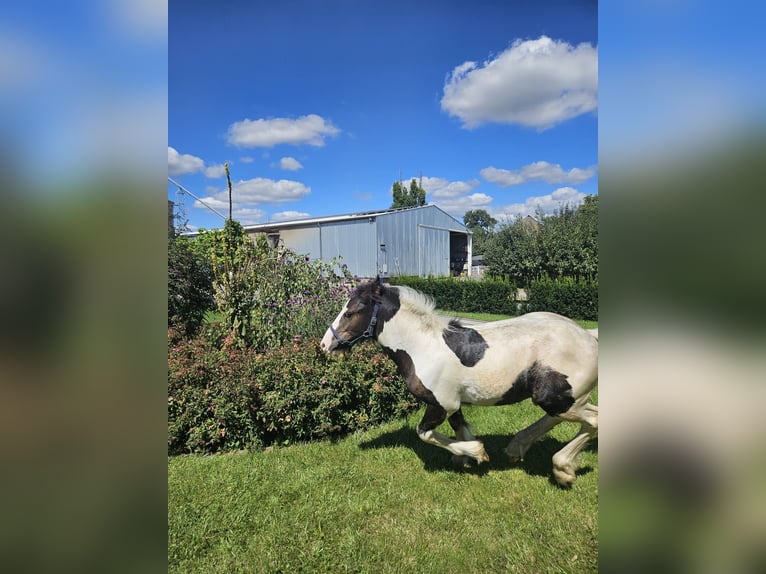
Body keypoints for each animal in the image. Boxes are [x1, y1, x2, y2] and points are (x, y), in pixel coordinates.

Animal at [320, 276, 600, 488]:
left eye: (350, 313)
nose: (325, 345)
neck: (422, 347)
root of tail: (588, 336)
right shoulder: (454, 405)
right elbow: (459, 428)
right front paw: (465, 458)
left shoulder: (441, 405)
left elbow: (425, 433)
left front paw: (475, 452)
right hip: (564, 399)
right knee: (565, 417)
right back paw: (516, 449)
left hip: (556, 398)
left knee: (592, 420)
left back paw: (563, 470)